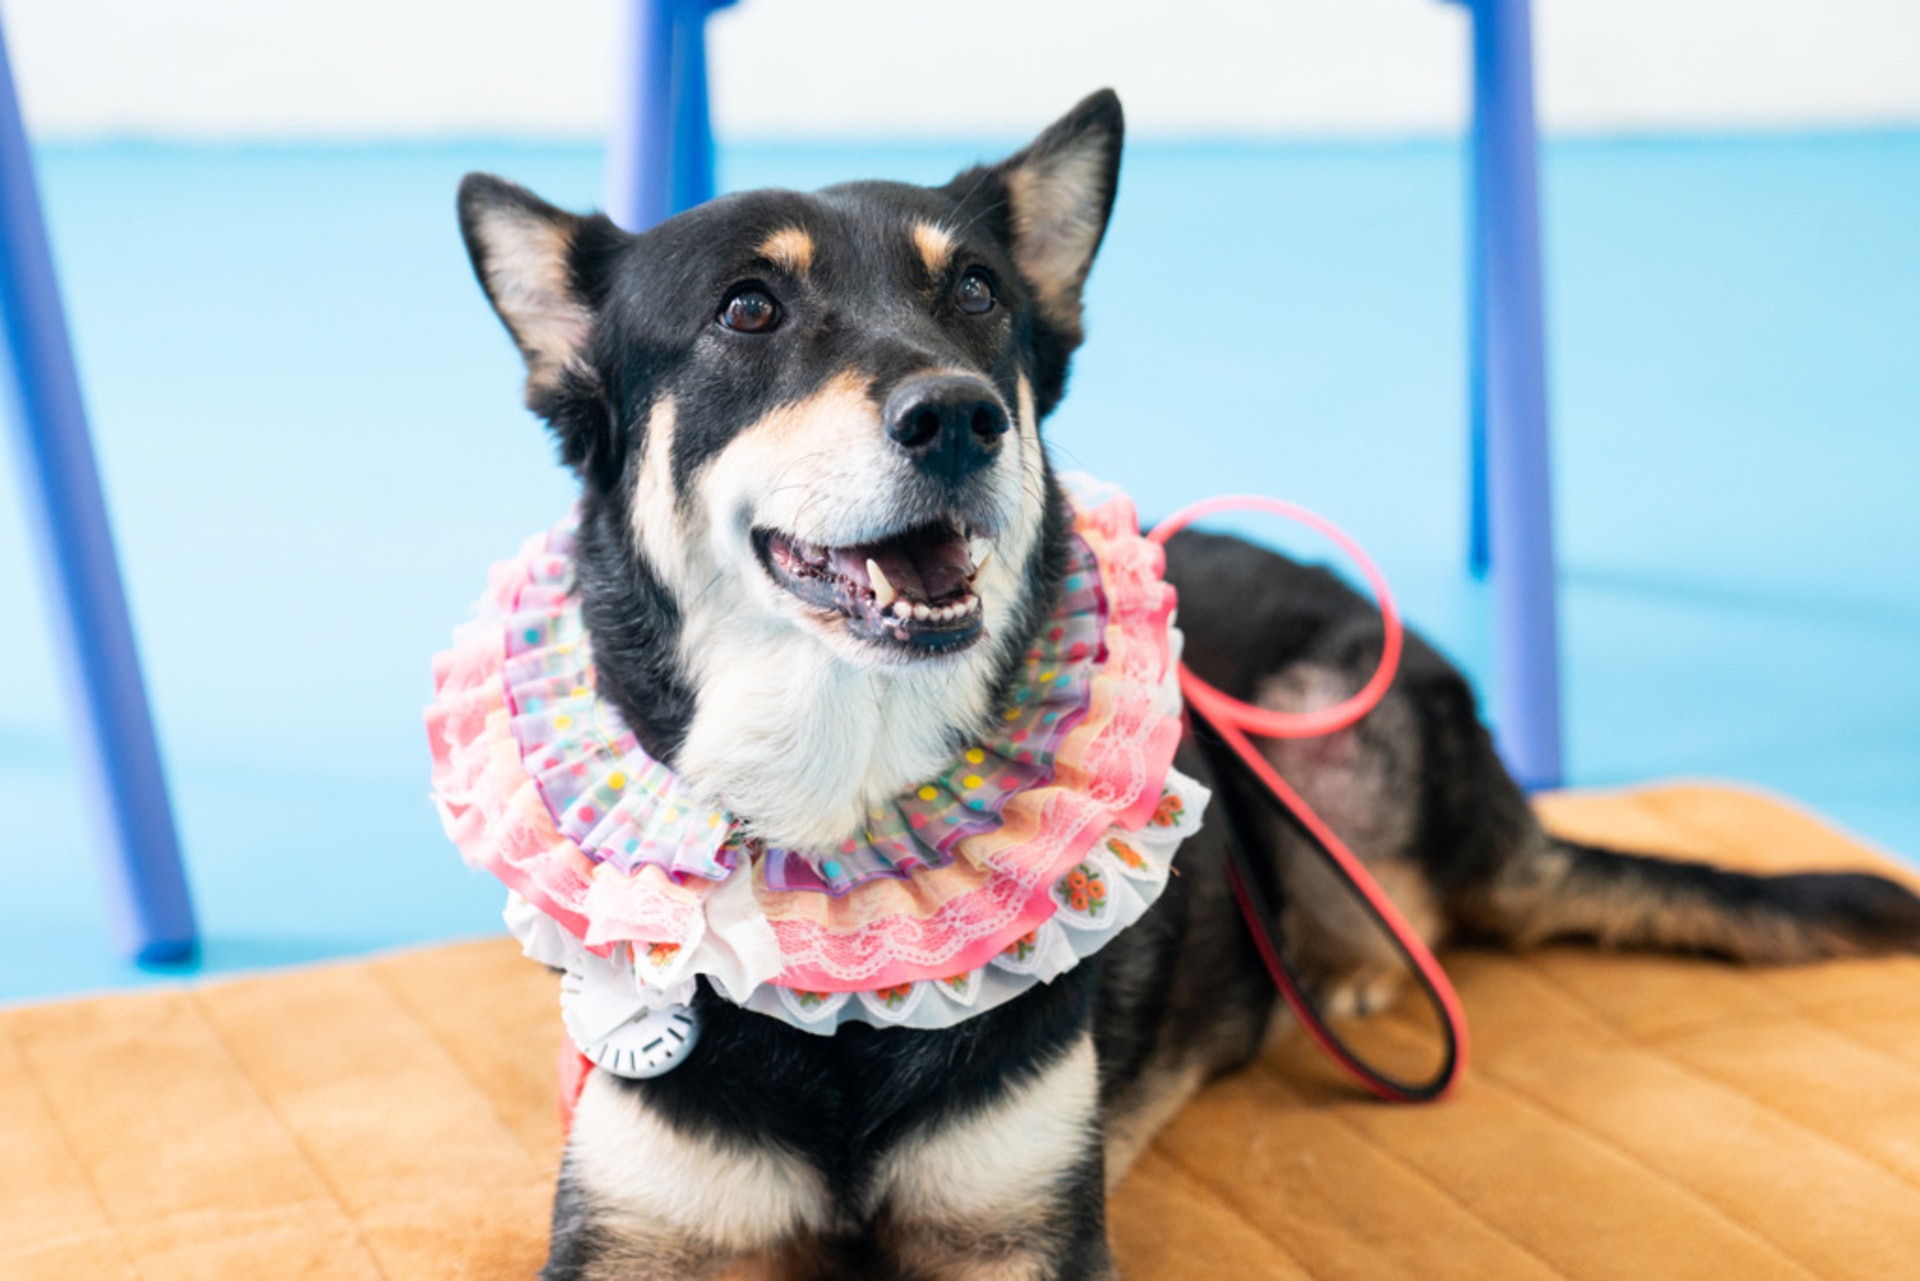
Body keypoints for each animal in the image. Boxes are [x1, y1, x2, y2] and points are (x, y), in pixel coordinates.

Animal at [454, 89, 1920, 1280]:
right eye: (748, 308)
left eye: (974, 293)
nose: (960, 416)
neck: (842, 807)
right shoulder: (640, 1233)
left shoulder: (1020, 1232)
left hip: (1328, 722)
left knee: (1421, 907)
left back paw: (1347, 975)